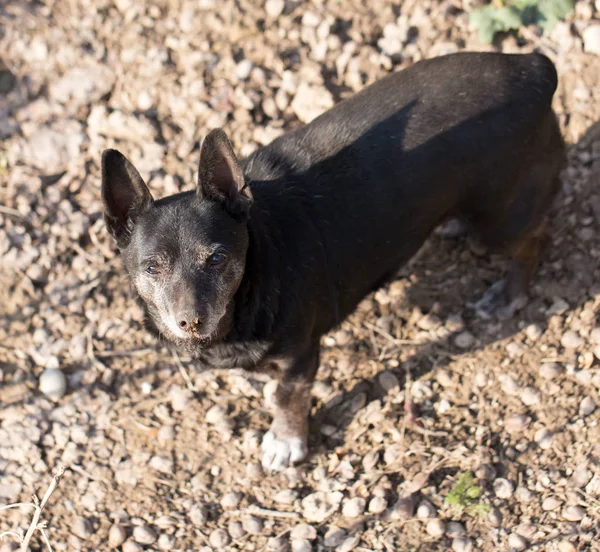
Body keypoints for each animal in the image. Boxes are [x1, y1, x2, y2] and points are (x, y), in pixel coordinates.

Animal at [101, 52, 564, 470]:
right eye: (152, 267)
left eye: (216, 258)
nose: (190, 321)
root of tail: (535, 68)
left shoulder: (301, 359)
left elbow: (288, 399)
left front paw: (286, 442)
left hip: (500, 219)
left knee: (536, 238)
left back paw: (508, 295)